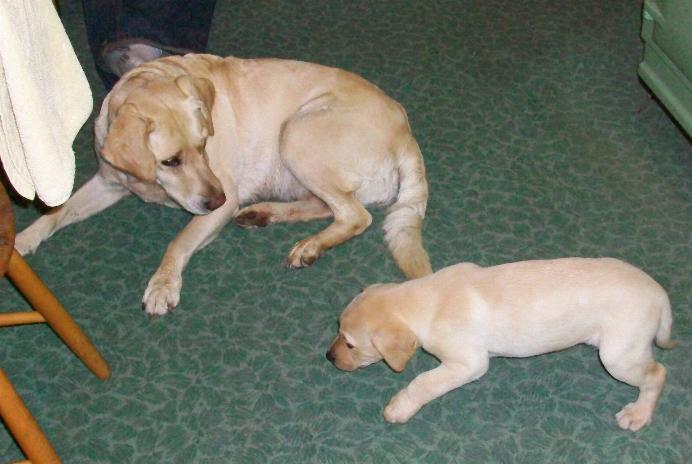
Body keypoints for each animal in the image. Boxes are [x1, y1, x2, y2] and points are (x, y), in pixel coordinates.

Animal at [13, 53, 430, 316]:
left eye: (203, 145)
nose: (215, 200)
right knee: (326, 207)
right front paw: (23, 239)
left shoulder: (218, 201)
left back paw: (309, 246)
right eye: (171, 160)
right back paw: (263, 215)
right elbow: (59, 211)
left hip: (296, 132)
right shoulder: (110, 181)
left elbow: (178, 241)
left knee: (355, 216)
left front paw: (162, 286)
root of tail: (406, 132)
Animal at [326, 258, 676, 432]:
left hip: (617, 355)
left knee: (658, 373)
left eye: (351, 344)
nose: (328, 357)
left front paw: (399, 407)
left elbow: (422, 382)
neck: (425, 299)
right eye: (337, 330)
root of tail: (660, 295)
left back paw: (639, 414)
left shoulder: (468, 363)